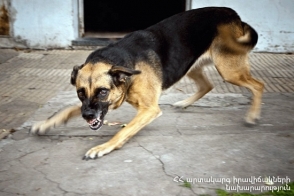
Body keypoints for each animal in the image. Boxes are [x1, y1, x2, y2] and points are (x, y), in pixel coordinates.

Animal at [30, 6, 264, 160]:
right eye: (80, 92)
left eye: (103, 91)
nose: (87, 116)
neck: (125, 68)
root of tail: (233, 14)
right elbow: (68, 109)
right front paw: (47, 123)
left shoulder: (149, 110)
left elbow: (123, 131)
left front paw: (103, 147)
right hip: (191, 66)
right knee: (208, 86)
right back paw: (184, 103)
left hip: (229, 71)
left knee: (258, 85)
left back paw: (252, 115)